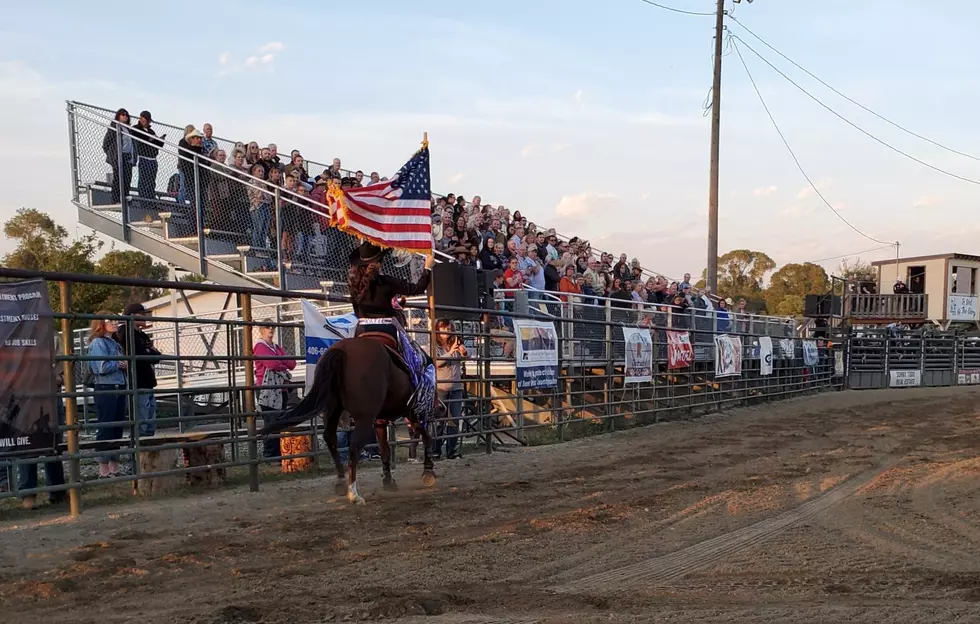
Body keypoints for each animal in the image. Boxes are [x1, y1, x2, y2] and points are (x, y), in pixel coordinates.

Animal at [266, 334, 438, 504]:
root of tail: (342, 350)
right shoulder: (415, 412)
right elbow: (426, 437)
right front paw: (428, 472)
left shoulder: (381, 421)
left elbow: (385, 449)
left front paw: (389, 481)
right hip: (364, 418)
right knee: (354, 448)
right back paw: (354, 494)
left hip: (333, 410)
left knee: (330, 438)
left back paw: (341, 481)